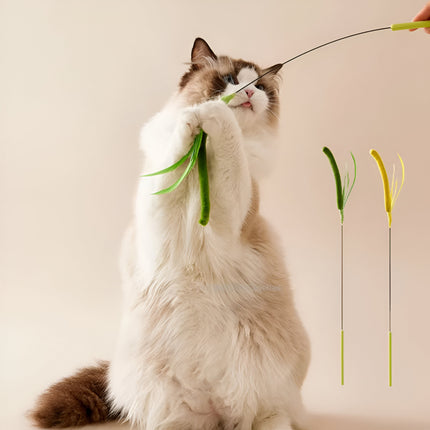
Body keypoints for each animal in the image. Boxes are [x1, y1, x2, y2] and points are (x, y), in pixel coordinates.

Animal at [31, 37, 310, 430]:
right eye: (229, 79)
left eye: (261, 87)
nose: (248, 93)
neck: (204, 153)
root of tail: (219, 415)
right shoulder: (158, 203)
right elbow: (176, 147)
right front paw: (195, 118)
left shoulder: (229, 215)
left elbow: (231, 145)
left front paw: (215, 115)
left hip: (268, 389)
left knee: (268, 416)